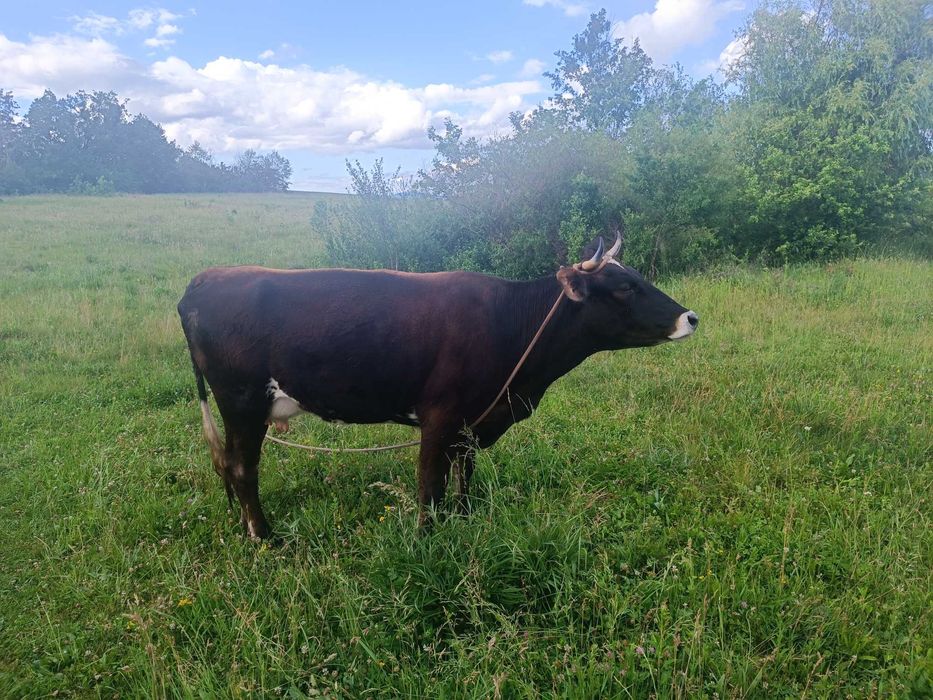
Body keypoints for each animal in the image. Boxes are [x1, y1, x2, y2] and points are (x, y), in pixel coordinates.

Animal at [178, 235, 698, 539]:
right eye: (624, 287)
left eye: (638, 277)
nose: (690, 317)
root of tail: (204, 279)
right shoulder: (440, 414)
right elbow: (431, 482)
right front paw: (428, 536)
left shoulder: (471, 420)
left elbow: (463, 474)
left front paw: (462, 519)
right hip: (242, 402)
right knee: (242, 468)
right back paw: (264, 536)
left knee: (229, 466)